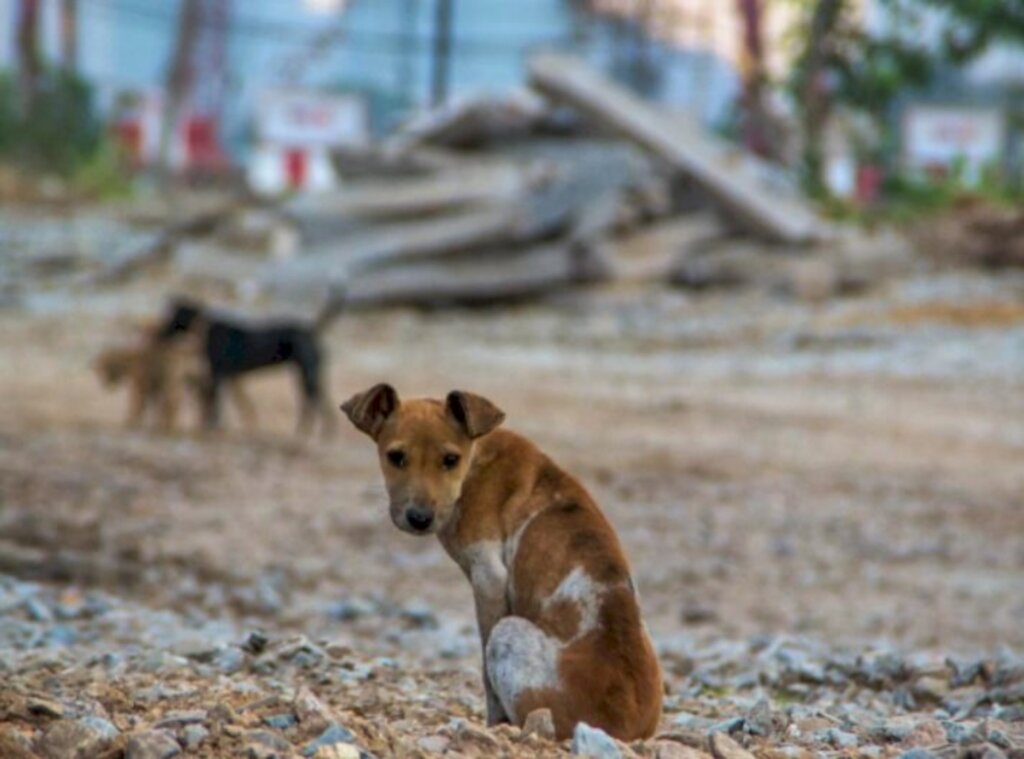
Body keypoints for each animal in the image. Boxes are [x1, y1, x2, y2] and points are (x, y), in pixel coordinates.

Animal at [157, 288, 346, 434]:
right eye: (171, 314)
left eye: (177, 316)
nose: (160, 333)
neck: (203, 329)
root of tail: (312, 329)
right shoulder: (228, 376)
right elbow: (235, 402)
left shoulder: (217, 373)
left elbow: (215, 402)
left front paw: (212, 427)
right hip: (310, 372)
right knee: (318, 399)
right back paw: (321, 433)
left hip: (307, 372)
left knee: (311, 400)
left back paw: (306, 433)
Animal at [342, 381, 663, 737]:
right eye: (395, 457)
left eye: (450, 459)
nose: (420, 518)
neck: (475, 460)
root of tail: (627, 730)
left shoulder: (488, 578)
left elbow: (485, 673)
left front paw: (493, 724)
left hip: (508, 633)